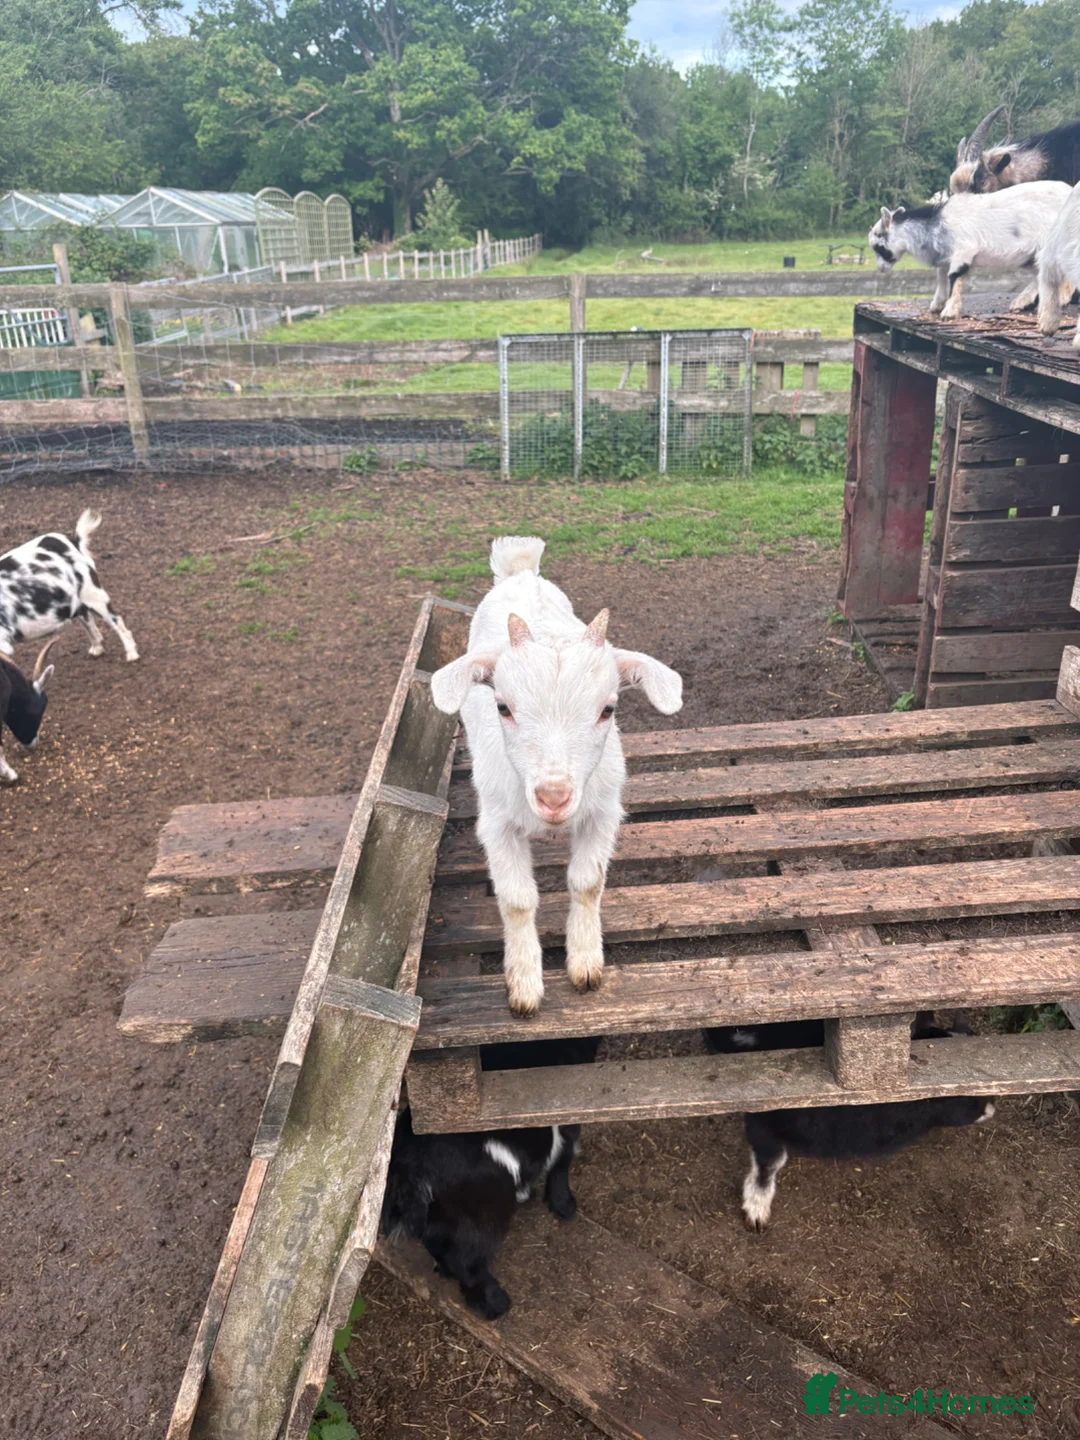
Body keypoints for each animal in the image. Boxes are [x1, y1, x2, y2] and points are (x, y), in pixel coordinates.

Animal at [0, 510, 138, 663]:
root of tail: (74, 543)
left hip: (93, 593)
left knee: (116, 620)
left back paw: (132, 654)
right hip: (79, 599)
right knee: (87, 617)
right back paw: (97, 649)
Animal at [383, 1037, 598, 1318]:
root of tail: (411, 1167)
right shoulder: (568, 1120)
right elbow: (562, 1161)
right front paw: (564, 1205)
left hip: (442, 1216)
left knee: (440, 1247)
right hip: (483, 1213)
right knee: (467, 1263)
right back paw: (494, 1304)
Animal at [430, 537, 682, 1016]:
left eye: (608, 709)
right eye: (503, 707)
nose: (553, 796)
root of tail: (521, 570)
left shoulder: (603, 813)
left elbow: (587, 883)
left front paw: (584, 963)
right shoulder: (497, 824)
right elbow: (517, 901)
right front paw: (524, 984)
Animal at [868, 182, 1072, 320]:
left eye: (878, 243)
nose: (881, 269)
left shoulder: (963, 250)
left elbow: (954, 276)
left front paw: (948, 313)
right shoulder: (945, 257)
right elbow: (941, 279)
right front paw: (936, 306)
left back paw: (1061, 299)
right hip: (1030, 256)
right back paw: (1020, 303)